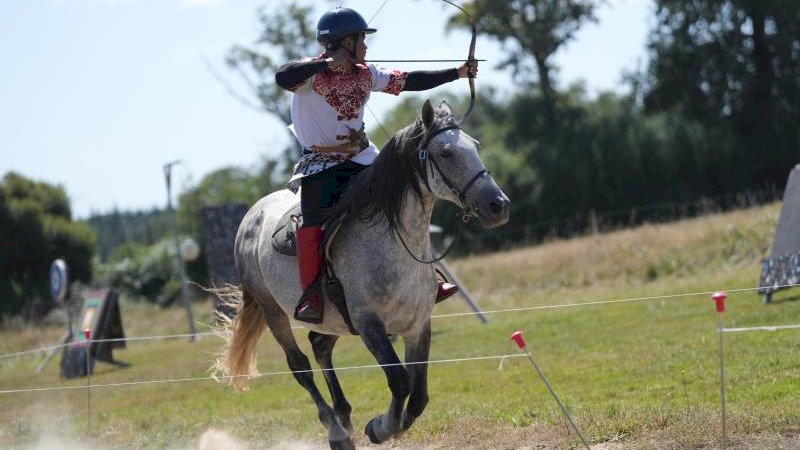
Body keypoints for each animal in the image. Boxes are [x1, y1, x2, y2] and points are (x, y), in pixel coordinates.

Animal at [212, 100, 510, 448]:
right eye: (447, 153)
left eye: (475, 146)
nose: (498, 205)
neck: (394, 242)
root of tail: (251, 217)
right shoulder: (369, 324)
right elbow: (400, 380)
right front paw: (381, 427)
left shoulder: (417, 325)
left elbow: (418, 395)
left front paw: (390, 423)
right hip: (272, 310)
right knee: (300, 366)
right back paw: (336, 429)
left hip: (332, 320)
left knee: (320, 346)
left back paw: (343, 416)